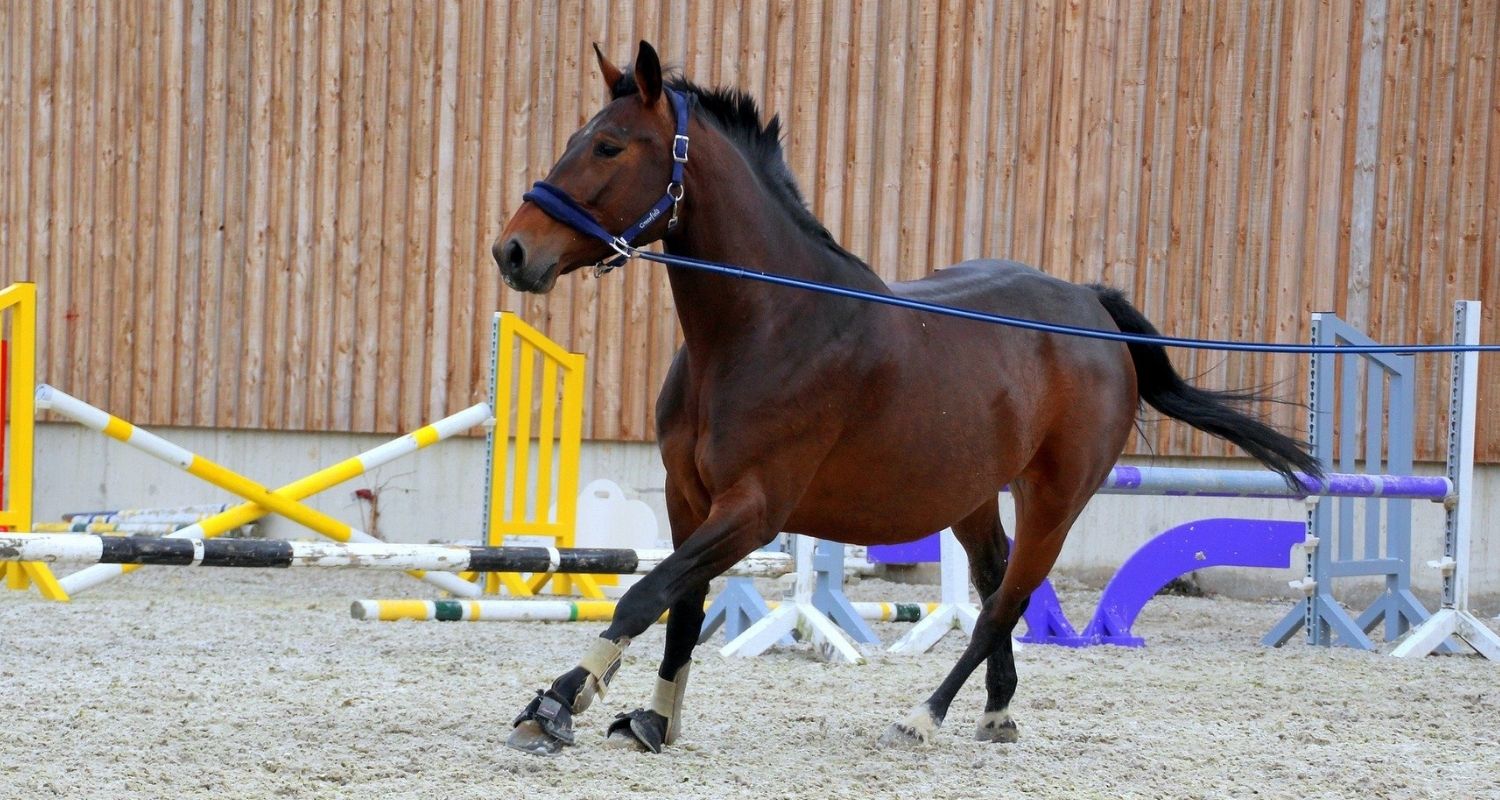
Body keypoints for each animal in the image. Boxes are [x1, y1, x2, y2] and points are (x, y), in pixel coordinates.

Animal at [489, 42, 1314, 753]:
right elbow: (682, 607)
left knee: (1003, 604)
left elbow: (646, 593)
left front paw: (558, 702)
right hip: (975, 496)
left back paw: (925, 715)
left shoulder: (754, 509)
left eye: (610, 147)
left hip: (1056, 499)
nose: (513, 251)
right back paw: (997, 711)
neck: (765, 325)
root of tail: (1089, 306)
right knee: (994, 582)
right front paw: (654, 721)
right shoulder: (687, 496)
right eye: (579, 137)